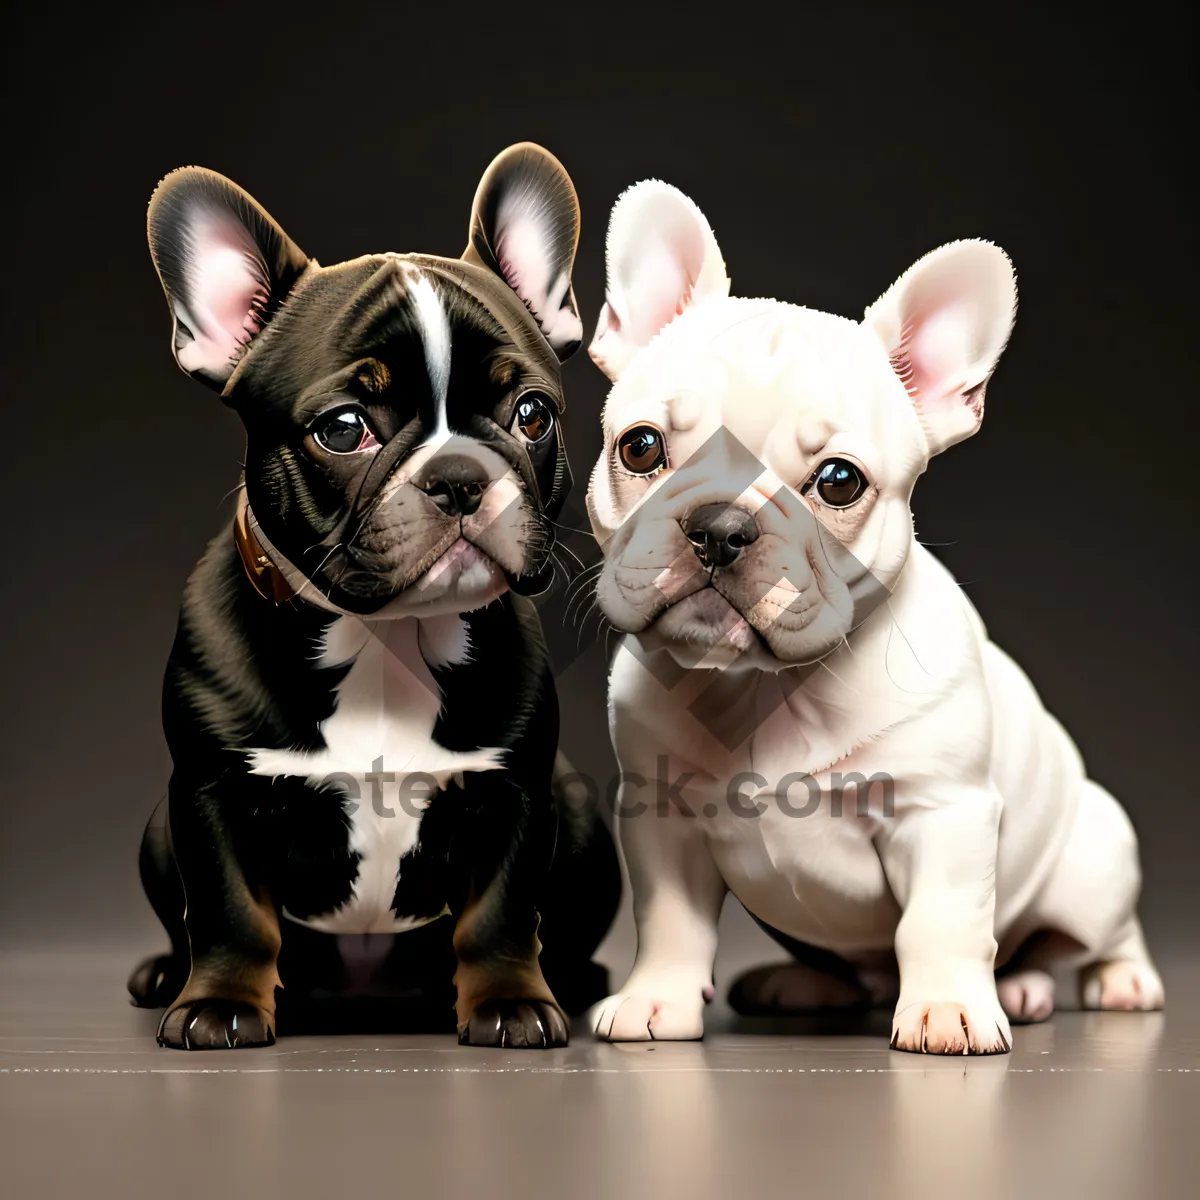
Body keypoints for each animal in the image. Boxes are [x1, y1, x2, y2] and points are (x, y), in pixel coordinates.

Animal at [126, 145, 619, 1051]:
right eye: (344, 428)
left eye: (531, 413)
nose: (458, 475)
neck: (387, 638)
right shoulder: (211, 794)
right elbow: (228, 910)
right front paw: (219, 1004)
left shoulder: (516, 793)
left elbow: (501, 914)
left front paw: (509, 1003)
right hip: (155, 831)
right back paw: (162, 977)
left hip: (580, 817)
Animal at [580, 177, 1161, 1051]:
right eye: (640, 447)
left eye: (839, 481)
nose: (720, 527)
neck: (767, 687)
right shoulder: (663, 817)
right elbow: (671, 920)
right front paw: (657, 1001)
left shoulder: (943, 814)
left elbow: (941, 922)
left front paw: (949, 1009)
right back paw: (807, 985)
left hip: (1094, 861)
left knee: (1089, 935)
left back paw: (1095, 983)